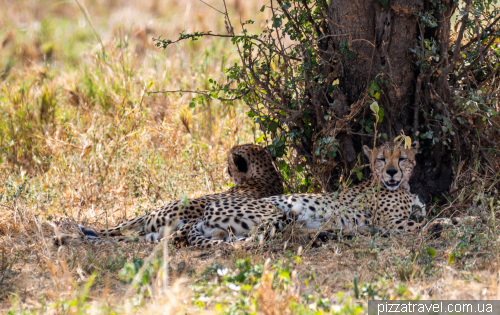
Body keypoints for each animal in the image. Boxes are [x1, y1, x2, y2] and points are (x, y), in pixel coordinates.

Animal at [188, 141, 430, 249]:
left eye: (401, 158)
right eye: (381, 159)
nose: (391, 172)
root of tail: (203, 216)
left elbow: (423, 217)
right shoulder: (389, 222)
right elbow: (422, 224)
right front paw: (438, 226)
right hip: (276, 213)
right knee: (274, 235)